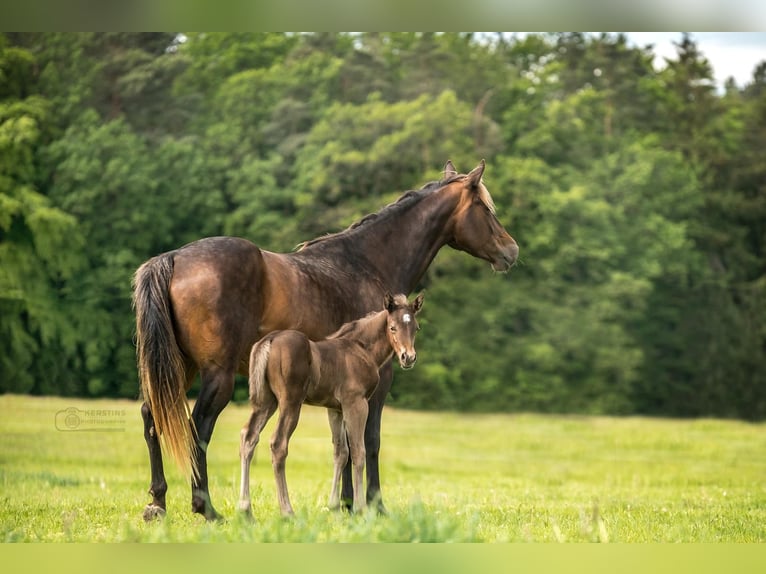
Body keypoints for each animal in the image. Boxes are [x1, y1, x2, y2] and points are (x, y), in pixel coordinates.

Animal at [238, 292, 424, 516]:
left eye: (416, 328)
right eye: (393, 327)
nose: (408, 357)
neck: (361, 349)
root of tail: (269, 339)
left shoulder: (335, 409)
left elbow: (341, 453)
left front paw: (334, 506)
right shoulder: (357, 404)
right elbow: (358, 451)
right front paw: (360, 508)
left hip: (266, 402)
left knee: (249, 437)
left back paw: (245, 509)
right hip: (290, 402)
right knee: (278, 444)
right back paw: (287, 511)